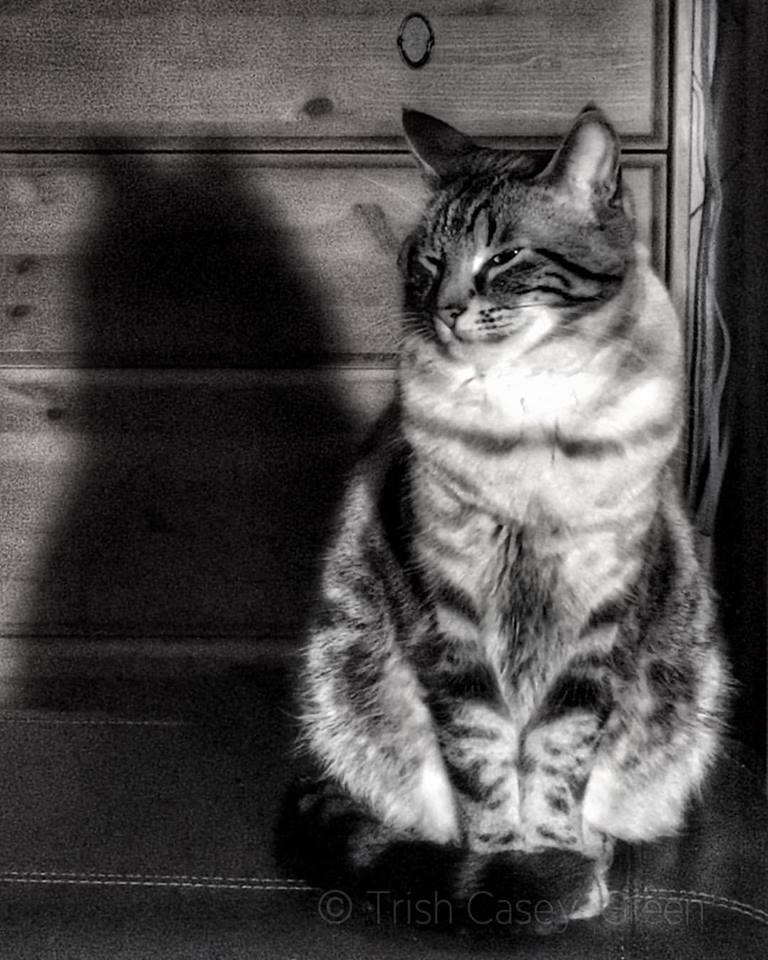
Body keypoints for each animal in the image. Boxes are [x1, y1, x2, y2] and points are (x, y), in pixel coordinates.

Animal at [281, 105, 729, 927]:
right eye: (428, 261)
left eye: (506, 256)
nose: (448, 310)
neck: (533, 423)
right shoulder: (446, 616)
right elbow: (483, 759)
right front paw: (513, 869)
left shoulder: (599, 618)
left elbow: (558, 752)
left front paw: (557, 855)